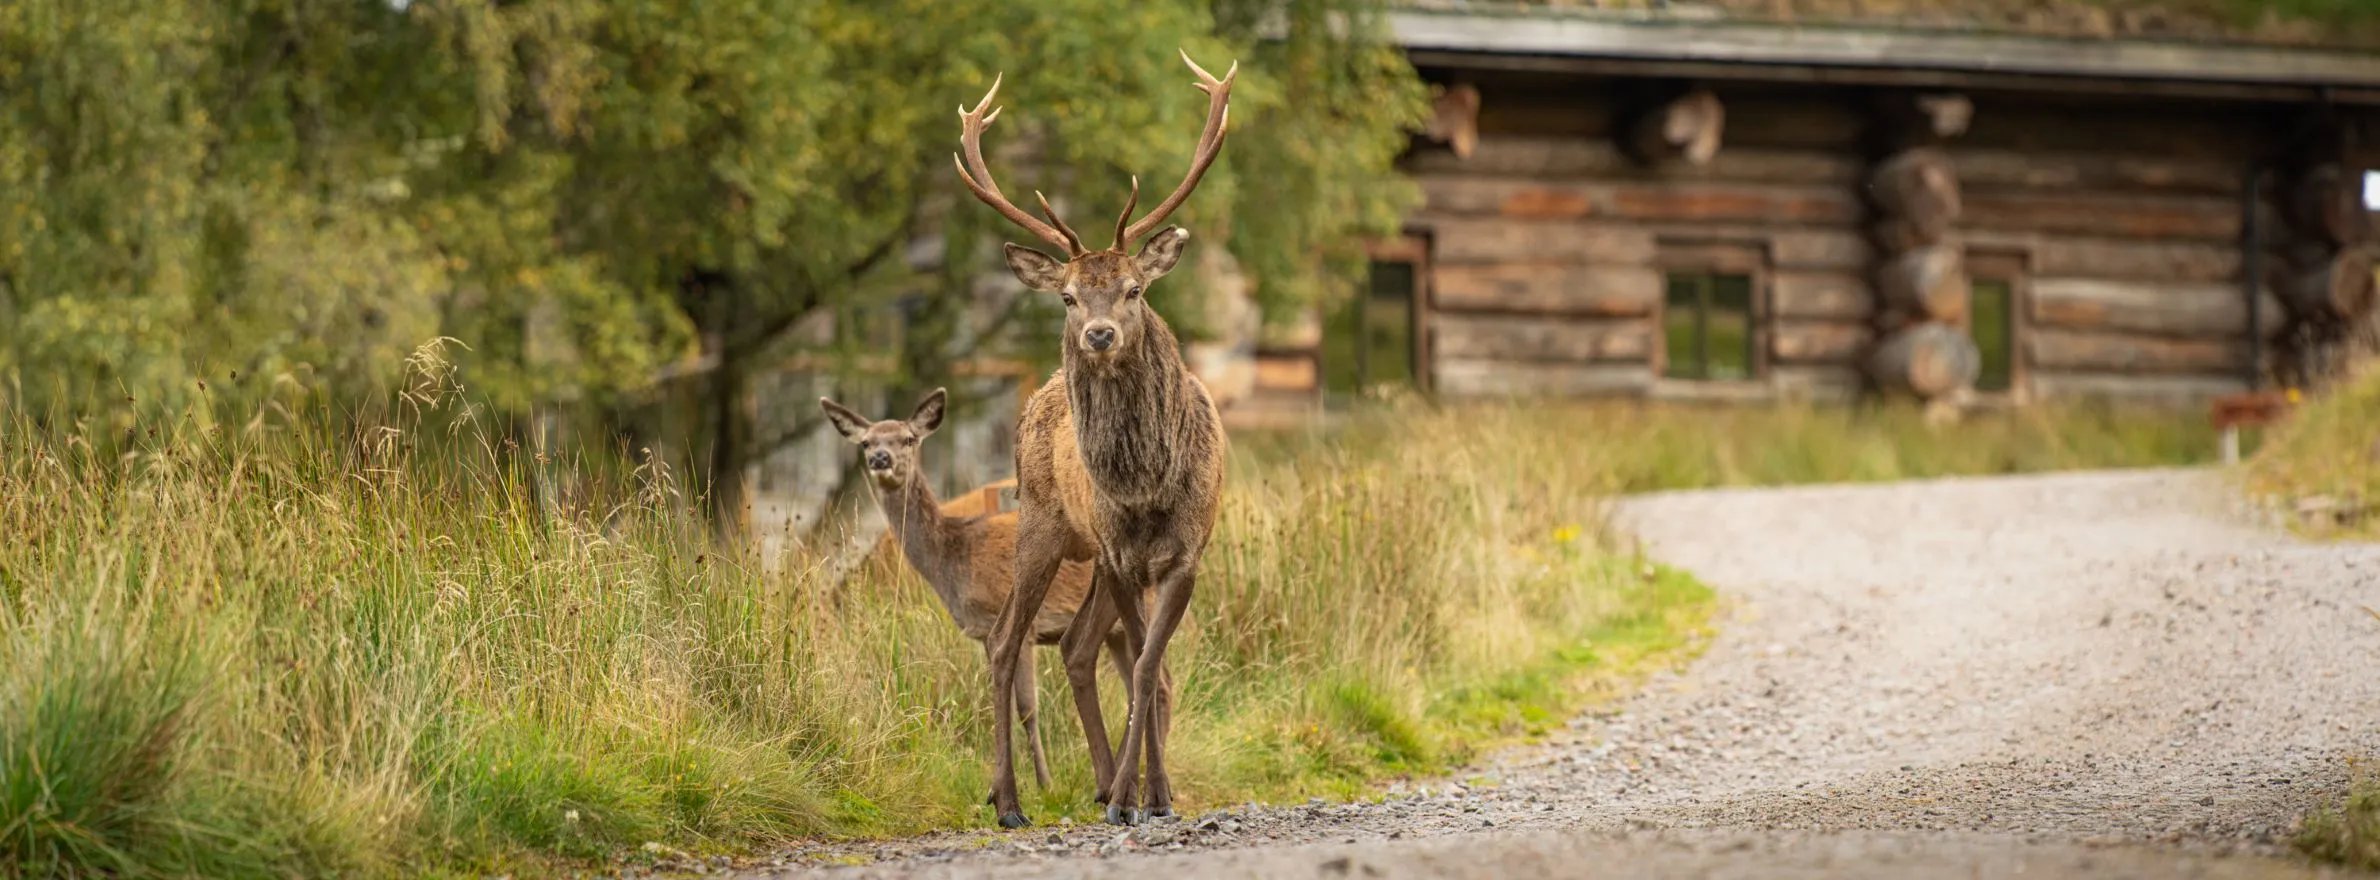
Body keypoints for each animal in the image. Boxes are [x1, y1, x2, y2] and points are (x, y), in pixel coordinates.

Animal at [818, 389, 1144, 797]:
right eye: (866, 442)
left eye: (908, 439)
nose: (881, 458)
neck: (956, 560)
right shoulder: (983, 634)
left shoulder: (1026, 626)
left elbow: (1028, 708)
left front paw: (1045, 784)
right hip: (1117, 631)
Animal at [951, 50, 1234, 828]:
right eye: (1069, 295)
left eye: (1135, 288)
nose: (1098, 334)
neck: (1147, 488)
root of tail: (1032, 401)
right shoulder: (1120, 555)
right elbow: (1140, 663)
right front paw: (1139, 797)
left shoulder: (1184, 555)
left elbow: (1146, 666)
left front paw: (1150, 794)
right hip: (1045, 525)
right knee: (1005, 641)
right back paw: (1009, 801)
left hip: (1087, 556)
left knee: (1076, 646)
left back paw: (1102, 783)